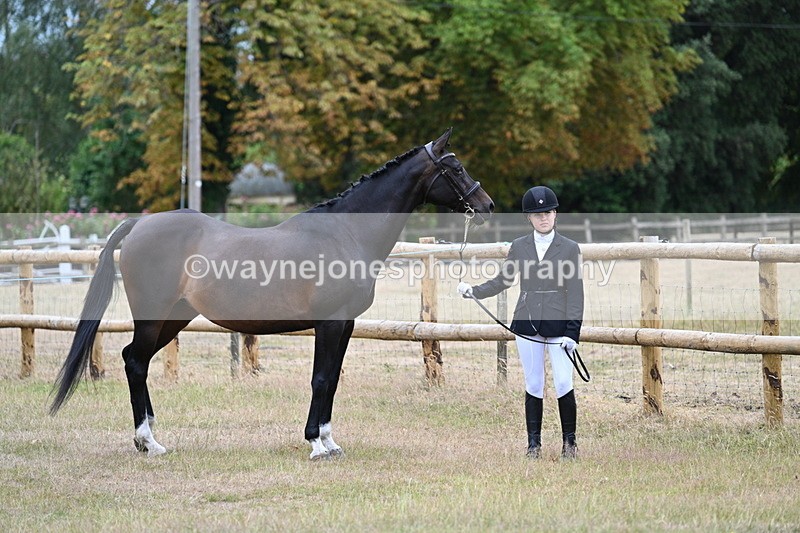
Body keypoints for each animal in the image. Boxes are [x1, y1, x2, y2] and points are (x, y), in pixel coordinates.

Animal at [49, 128, 494, 460]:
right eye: (455, 167)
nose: (487, 204)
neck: (346, 233)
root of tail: (139, 225)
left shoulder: (346, 324)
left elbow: (332, 379)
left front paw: (330, 440)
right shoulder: (329, 323)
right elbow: (320, 378)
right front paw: (316, 444)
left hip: (174, 317)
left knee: (133, 360)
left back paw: (149, 438)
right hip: (153, 315)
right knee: (135, 362)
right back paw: (149, 442)